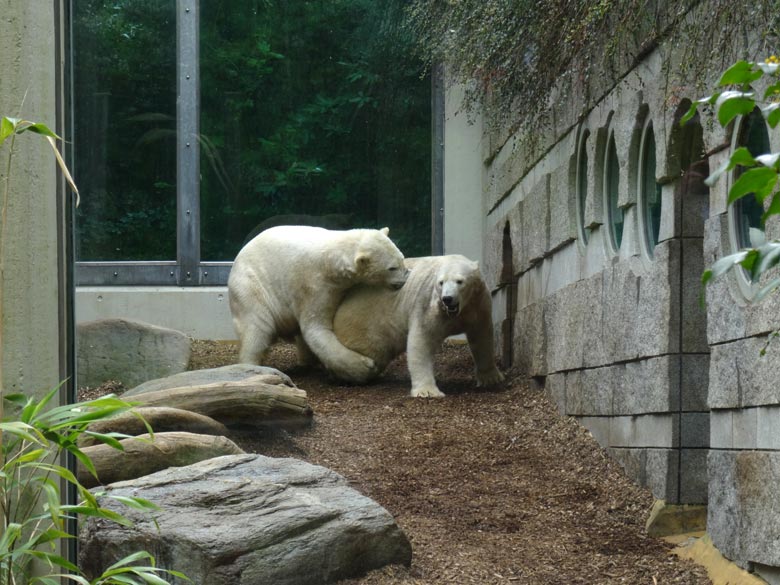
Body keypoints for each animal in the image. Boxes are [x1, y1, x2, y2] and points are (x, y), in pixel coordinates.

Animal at [227, 226, 408, 380]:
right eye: (392, 268)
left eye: (402, 258)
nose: (407, 275)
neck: (331, 259)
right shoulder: (315, 285)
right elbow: (315, 328)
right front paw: (365, 365)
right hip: (251, 286)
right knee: (257, 327)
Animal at [330, 254, 502, 396]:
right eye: (441, 282)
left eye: (460, 281)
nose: (447, 298)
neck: (459, 310)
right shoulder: (428, 304)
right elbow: (422, 340)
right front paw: (428, 391)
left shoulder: (478, 304)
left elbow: (482, 336)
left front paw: (491, 378)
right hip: (365, 325)